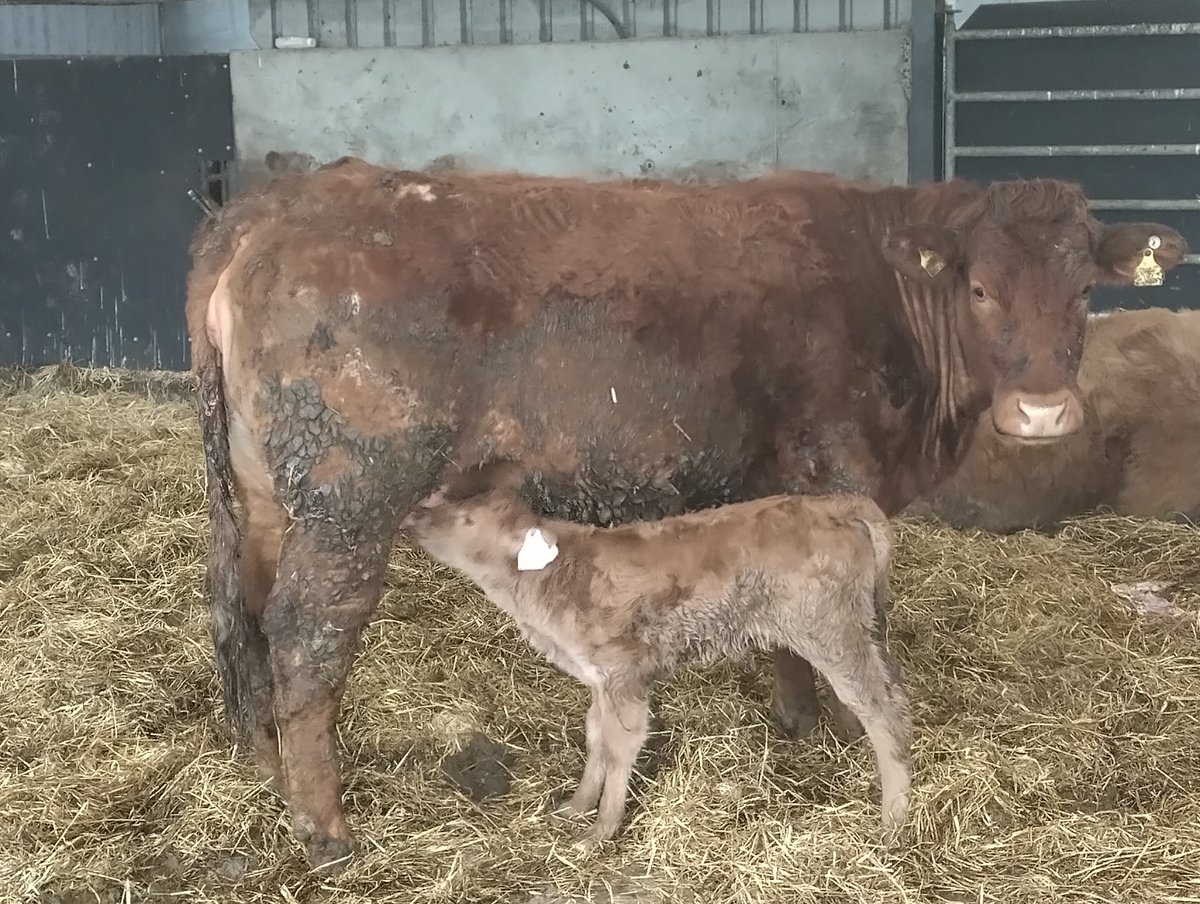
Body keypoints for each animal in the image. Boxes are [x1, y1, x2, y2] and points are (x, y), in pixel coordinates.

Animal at [401, 482, 912, 846]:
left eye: (467, 519)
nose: (416, 515)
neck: (555, 581)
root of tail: (832, 504)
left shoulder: (624, 677)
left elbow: (621, 744)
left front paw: (599, 832)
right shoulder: (598, 680)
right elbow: (596, 737)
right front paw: (576, 807)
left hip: (829, 631)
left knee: (884, 707)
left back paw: (894, 817)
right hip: (852, 629)